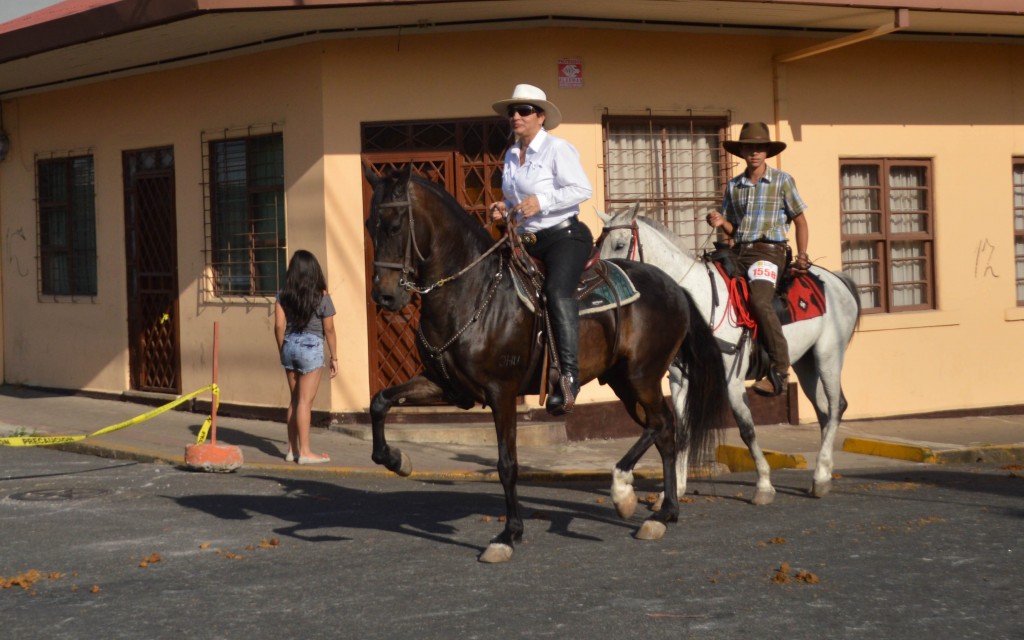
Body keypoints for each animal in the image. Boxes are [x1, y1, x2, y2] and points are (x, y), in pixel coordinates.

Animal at [364, 165, 724, 565]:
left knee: (662, 425)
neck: (472, 290)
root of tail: (674, 287)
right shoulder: (443, 385)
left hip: (641, 376)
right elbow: (380, 401)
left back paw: (626, 493)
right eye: (368, 225)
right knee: (664, 431)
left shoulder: (501, 392)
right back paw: (664, 513)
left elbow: (507, 464)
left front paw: (508, 534)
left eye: (394, 226)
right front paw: (396, 459)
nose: (385, 295)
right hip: (624, 382)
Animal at [598, 204, 860, 503]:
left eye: (619, 244)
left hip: (828, 357)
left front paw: (764, 485)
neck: (699, 301)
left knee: (837, 406)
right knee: (824, 412)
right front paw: (674, 490)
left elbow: (747, 429)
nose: (602, 279)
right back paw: (823, 475)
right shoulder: (679, 380)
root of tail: (838, 280)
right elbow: (683, 430)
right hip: (807, 364)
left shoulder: (732, 380)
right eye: (598, 243)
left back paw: (820, 475)